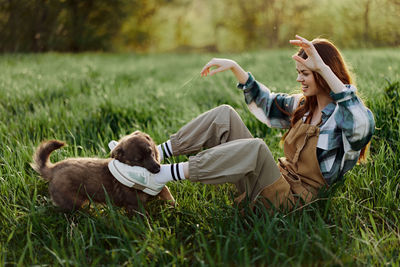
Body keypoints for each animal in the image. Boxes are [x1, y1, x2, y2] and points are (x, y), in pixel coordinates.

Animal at [31, 132, 175, 216]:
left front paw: (174, 206)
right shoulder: (134, 205)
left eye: (151, 153)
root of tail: (53, 169)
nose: (157, 169)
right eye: (138, 160)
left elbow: (167, 194)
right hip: (73, 202)